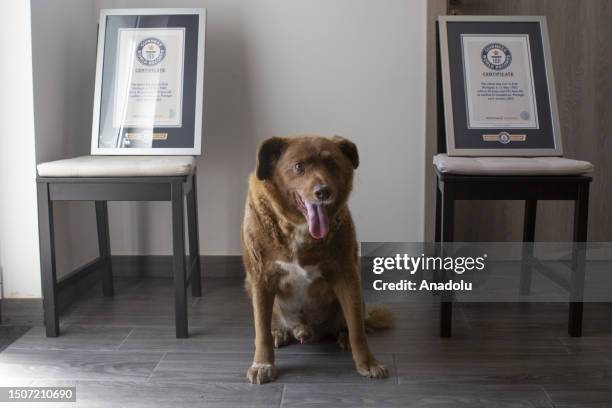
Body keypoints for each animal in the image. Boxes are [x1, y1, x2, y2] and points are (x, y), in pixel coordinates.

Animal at [240, 135, 392, 384]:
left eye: (332, 164)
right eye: (298, 166)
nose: (323, 191)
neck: (298, 227)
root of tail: (305, 331)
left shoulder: (347, 274)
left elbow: (357, 329)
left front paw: (368, 362)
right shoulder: (261, 278)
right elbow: (260, 330)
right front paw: (263, 364)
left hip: (357, 294)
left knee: (355, 321)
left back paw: (344, 336)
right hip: (249, 287)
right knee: (269, 323)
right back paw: (278, 332)